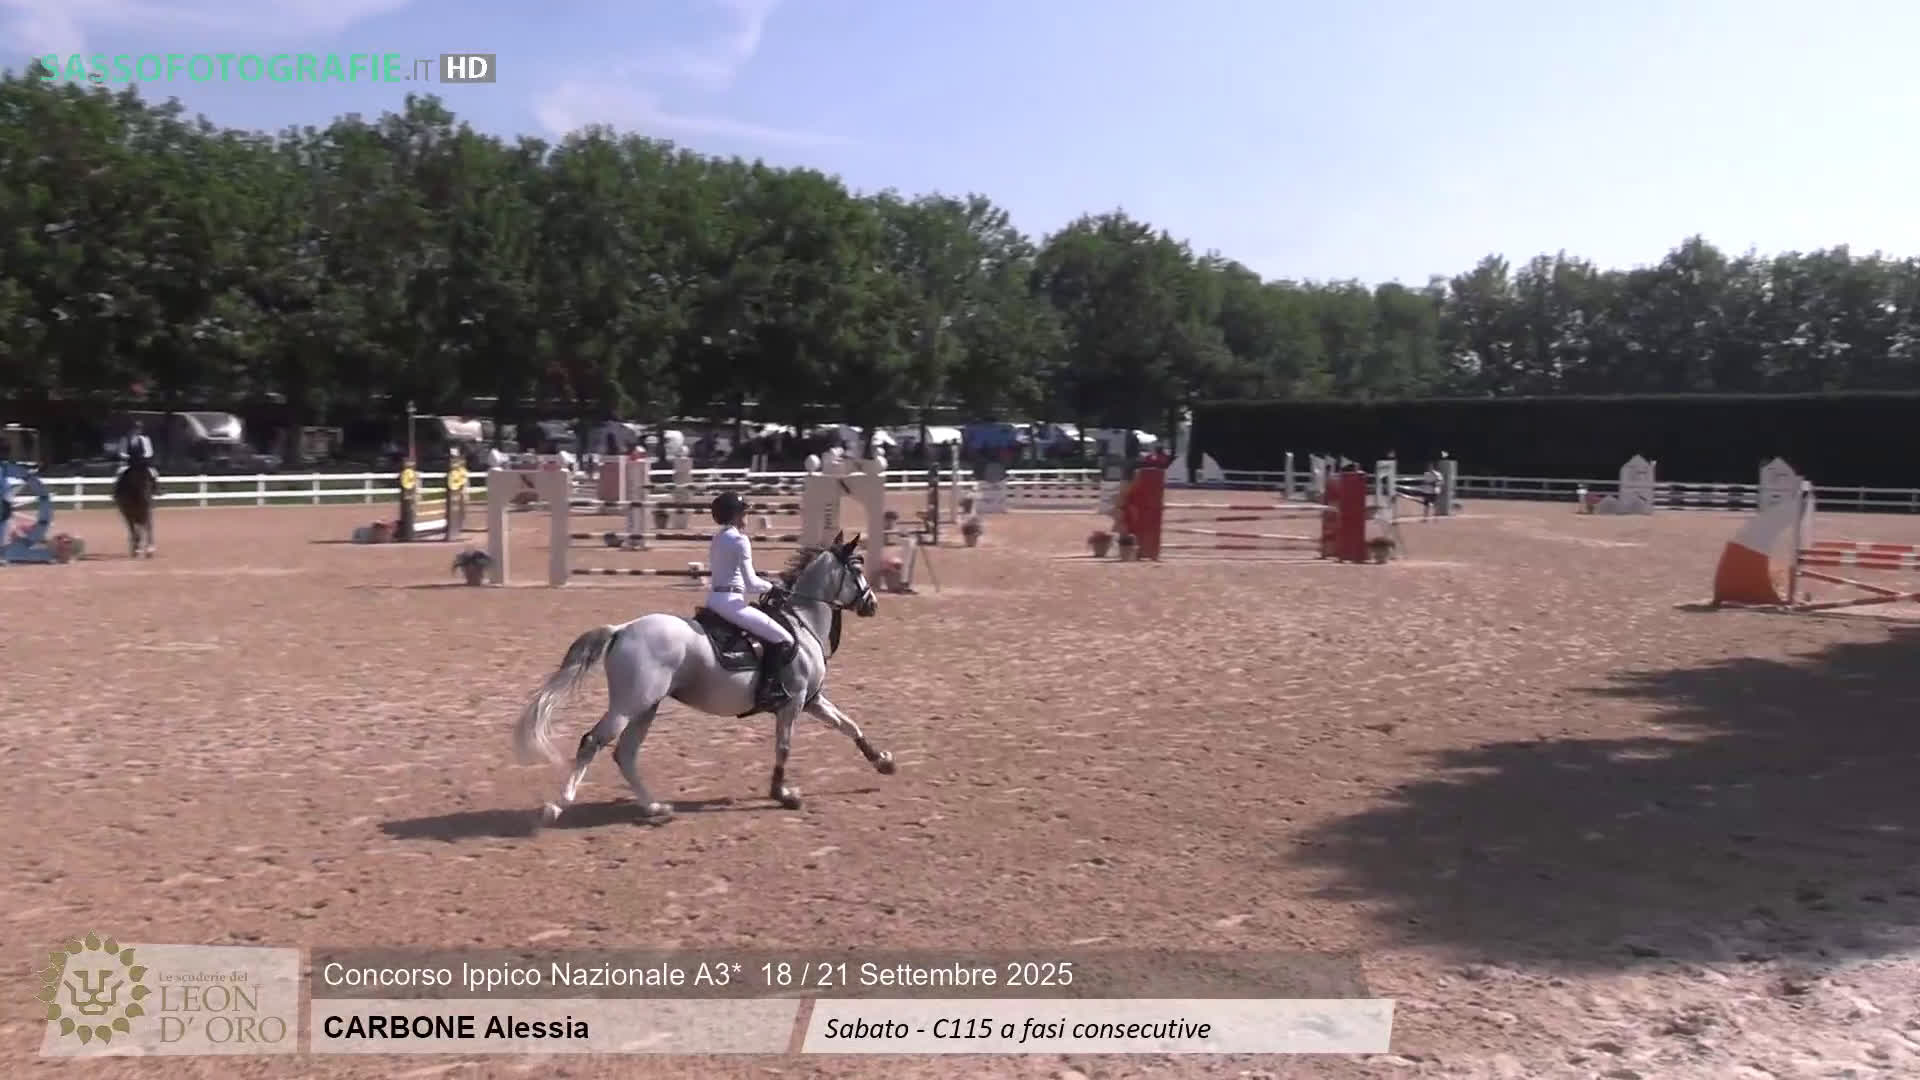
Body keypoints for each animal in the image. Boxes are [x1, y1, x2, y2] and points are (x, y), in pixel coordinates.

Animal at [513, 533, 892, 826]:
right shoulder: (795, 701)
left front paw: (883, 761)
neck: (801, 619)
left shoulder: (812, 699)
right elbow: (784, 746)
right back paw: (557, 806)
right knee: (592, 742)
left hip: (646, 707)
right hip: (629, 704)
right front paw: (783, 794)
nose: (872, 604)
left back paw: (655, 807)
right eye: (857, 567)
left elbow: (849, 725)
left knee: (626, 753)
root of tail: (622, 630)